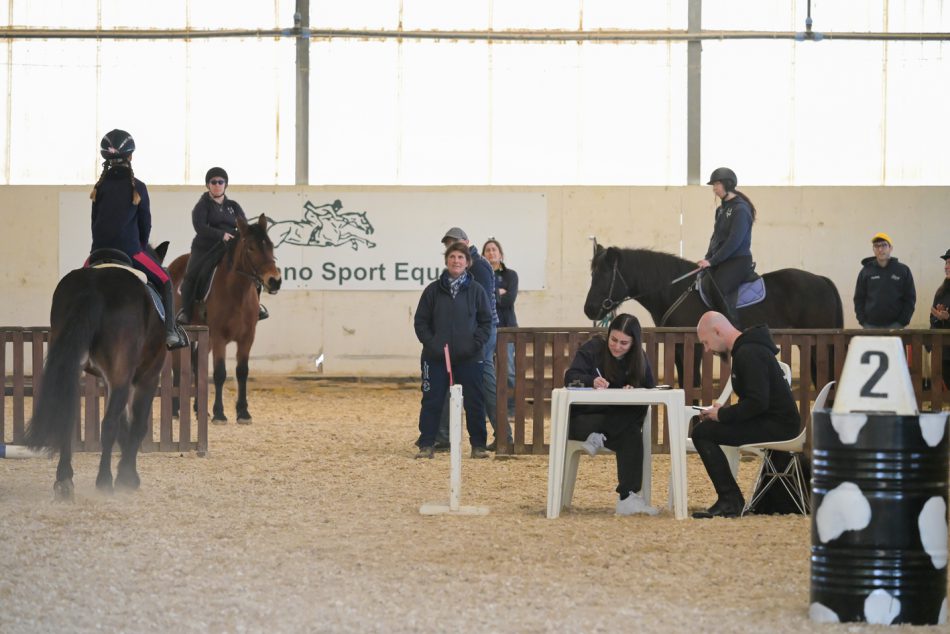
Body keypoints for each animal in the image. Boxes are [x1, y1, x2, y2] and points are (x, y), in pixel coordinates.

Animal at [24, 243, 173, 501]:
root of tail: (93, 286)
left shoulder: (108, 380)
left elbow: (125, 425)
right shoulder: (147, 378)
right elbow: (137, 425)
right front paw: (127, 476)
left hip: (73, 368)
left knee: (68, 417)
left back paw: (65, 480)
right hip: (124, 375)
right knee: (109, 424)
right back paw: (104, 481)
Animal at [169, 214, 281, 423]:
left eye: (270, 245)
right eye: (251, 248)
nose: (274, 280)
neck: (238, 292)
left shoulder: (247, 338)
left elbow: (242, 371)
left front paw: (243, 412)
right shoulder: (219, 337)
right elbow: (220, 373)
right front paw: (219, 413)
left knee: (197, 363)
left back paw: (199, 410)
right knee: (177, 367)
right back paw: (174, 410)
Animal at [584, 245, 844, 384]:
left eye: (603, 275)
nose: (589, 309)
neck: (676, 290)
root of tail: (822, 280)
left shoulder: (695, 346)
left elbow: (694, 382)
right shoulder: (677, 347)